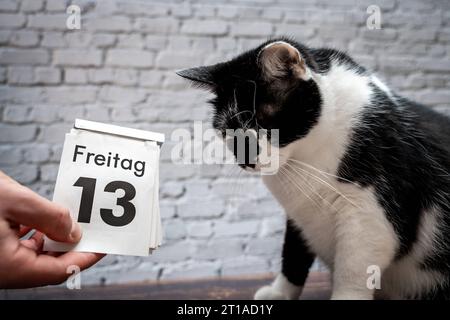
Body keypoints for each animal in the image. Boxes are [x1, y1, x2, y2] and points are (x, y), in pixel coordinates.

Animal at [176, 38, 450, 300]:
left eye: (262, 123)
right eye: (227, 132)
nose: (247, 161)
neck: (304, 157)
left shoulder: (371, 215)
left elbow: (353, 270)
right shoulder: (299, 213)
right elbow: (293, 253)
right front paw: (280, 292)